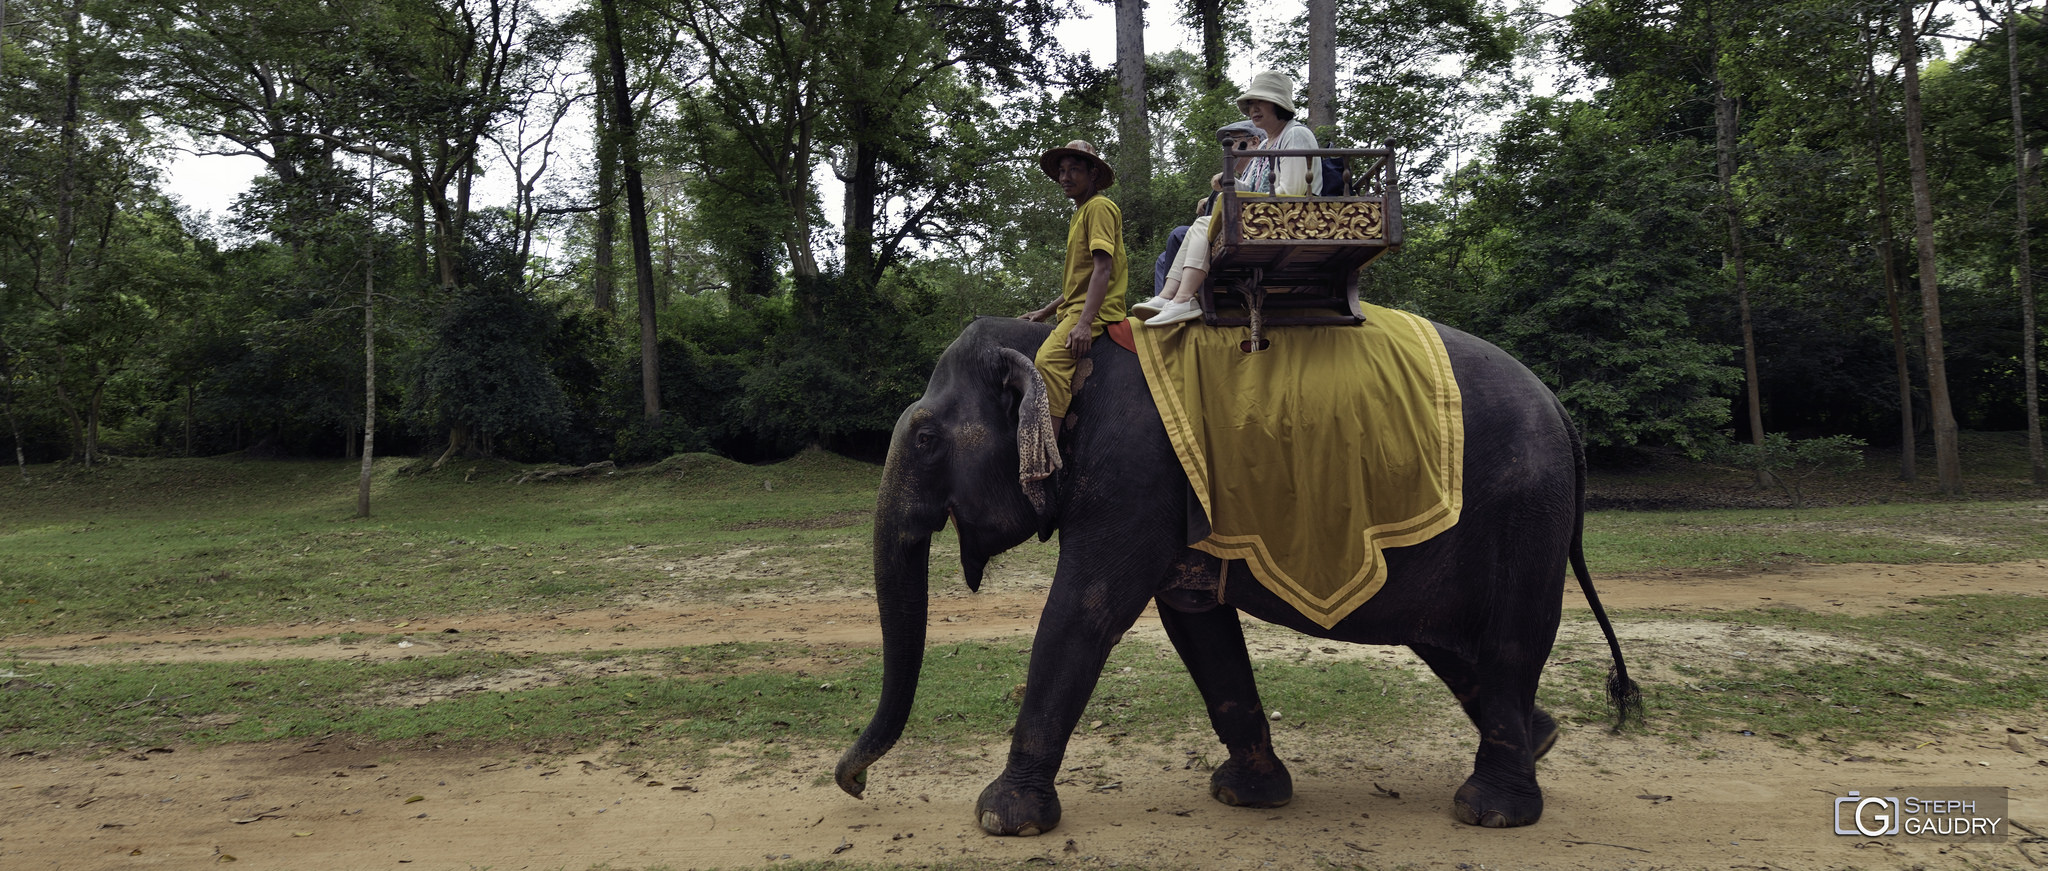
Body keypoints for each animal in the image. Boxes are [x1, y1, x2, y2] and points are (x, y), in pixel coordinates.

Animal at [831, 313, 1630, 836]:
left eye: (926, 438)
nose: (853, 783)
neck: (1053, 339)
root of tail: (1563, 413)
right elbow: (1194, 619)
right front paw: (1248, 796)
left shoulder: (1133, 474)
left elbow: (1085, 610)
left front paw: (1002, 817)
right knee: (1454, 647)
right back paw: (1542, 741)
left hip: (1526, 510)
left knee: (1509, 643)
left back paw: (1490, 810)